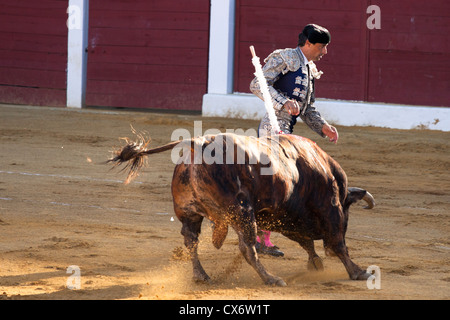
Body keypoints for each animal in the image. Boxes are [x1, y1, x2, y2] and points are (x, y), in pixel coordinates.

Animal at [110, 131, 376, 286]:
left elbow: (307, 242)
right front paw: (359, 272)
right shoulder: (330, 208)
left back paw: (201, 275)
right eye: (348, 209)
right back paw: (271, 279)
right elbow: (338, 242)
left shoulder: (288, 218)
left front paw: (316, 263)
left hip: (189, 213)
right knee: (247, 247)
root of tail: (200, 143)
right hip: (243, 213)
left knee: (191, 241)